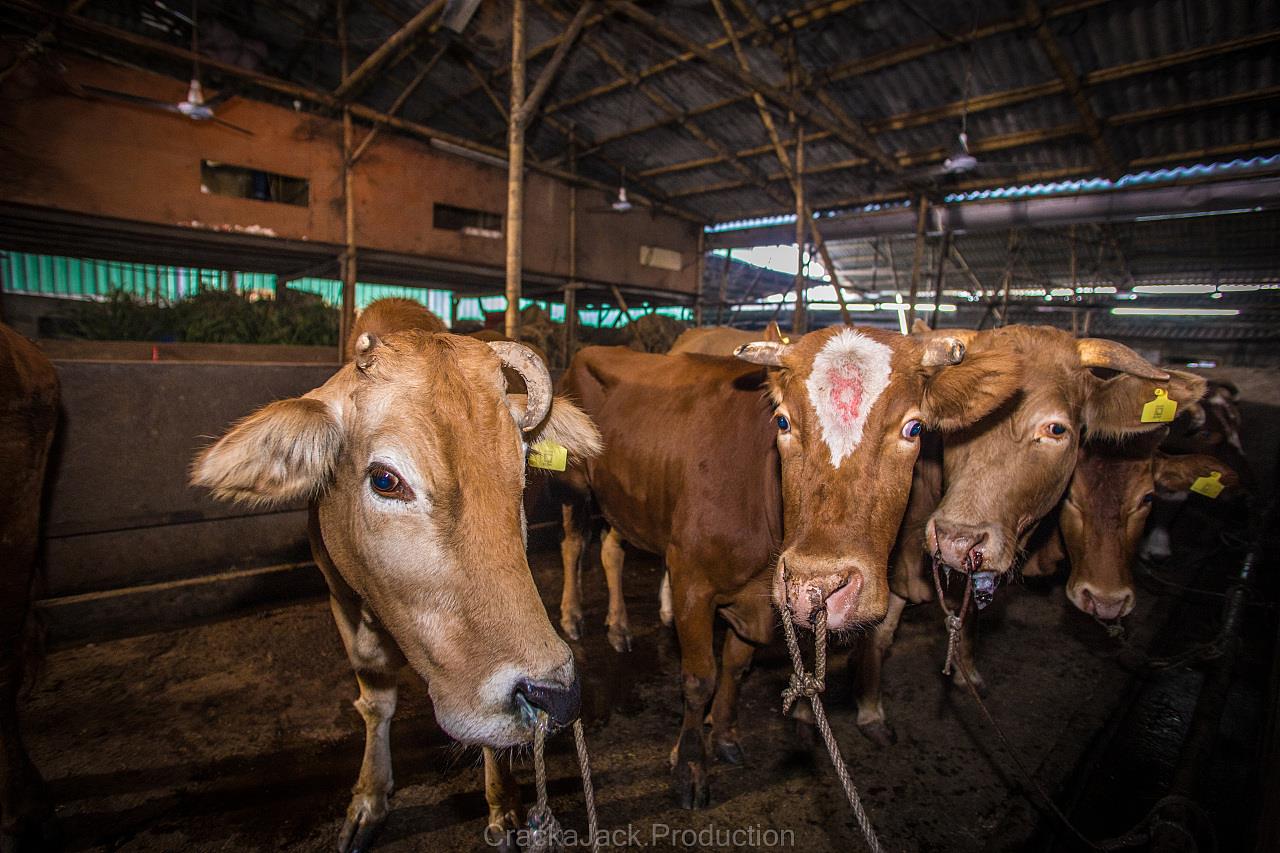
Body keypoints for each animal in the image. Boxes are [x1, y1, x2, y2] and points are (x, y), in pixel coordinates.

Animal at [192, 326, 601, 850]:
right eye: (385, 480)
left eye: (524, 471)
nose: (555, 695)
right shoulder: (342, 601)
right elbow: (375, 700)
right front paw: (368, 800)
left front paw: (504, 807)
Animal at [555, 324, 1024, 804]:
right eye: (782, 421)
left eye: (914, 428)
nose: (818, 585)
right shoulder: (691, 581)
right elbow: (699, 678)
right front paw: (689, 765)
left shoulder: (758, 599)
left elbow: (736, 665)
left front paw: (724, 735)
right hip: (574, 485)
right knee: (572, 544)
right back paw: (572, 617)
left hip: (625, 501)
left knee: (612, 549)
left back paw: (618, 625)